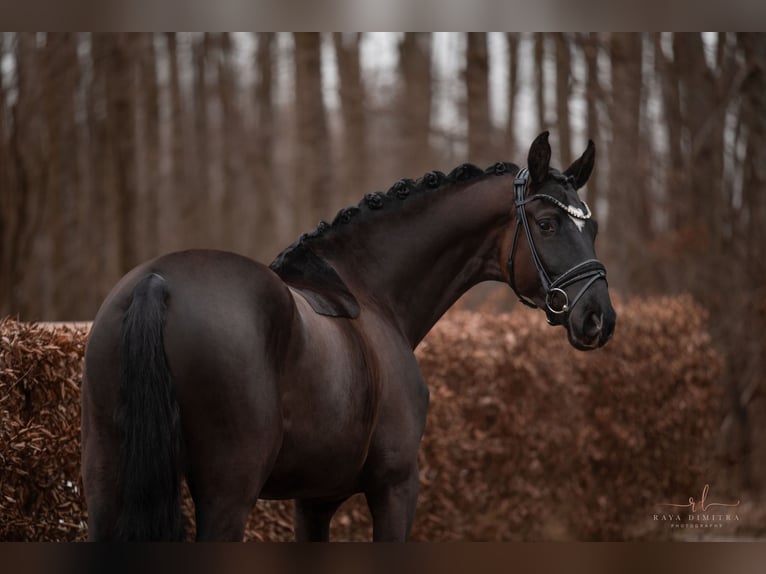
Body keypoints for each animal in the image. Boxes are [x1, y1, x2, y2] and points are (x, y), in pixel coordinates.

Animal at [81, 133, 616, 544]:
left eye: (592, 227)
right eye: (547, 224)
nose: (599, 318)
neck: (370, 290)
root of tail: (157, 285)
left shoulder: (314, 501)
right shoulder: (395, 486)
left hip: (106, 484)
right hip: (227, 493)